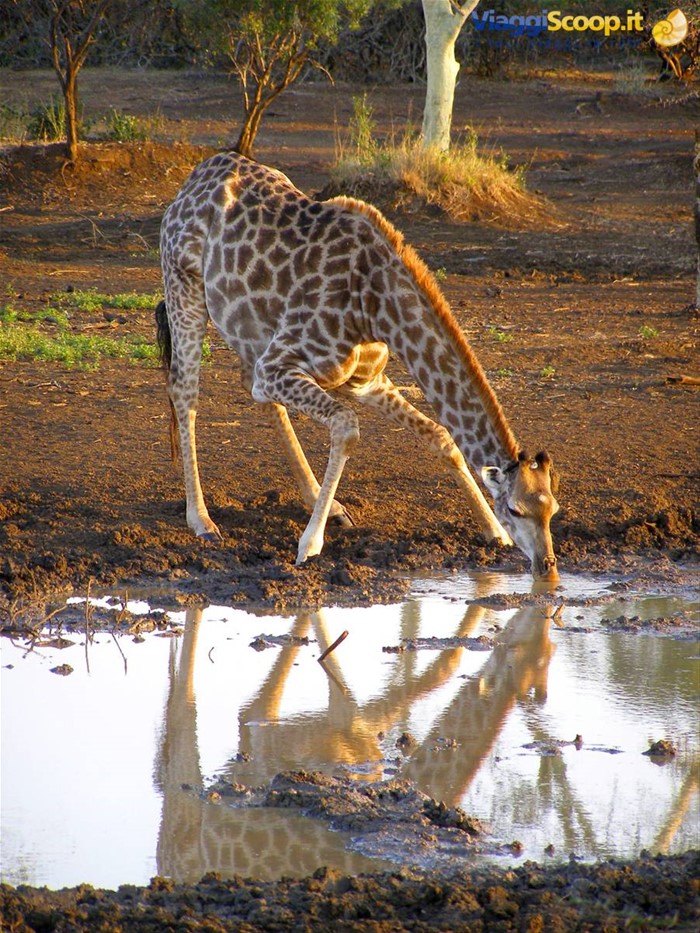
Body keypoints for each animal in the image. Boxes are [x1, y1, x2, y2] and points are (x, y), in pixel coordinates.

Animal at [157, 151, 560, 578]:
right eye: (515, 509)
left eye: (553, 508)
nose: (547, 564)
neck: (376, 307)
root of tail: (195, 178)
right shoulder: (279, 367)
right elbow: (347, 427)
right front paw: (309, 545)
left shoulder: (365, 381)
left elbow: (441, 435)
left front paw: (492, 531)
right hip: (185, 287)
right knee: (184, 390)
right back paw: (202, 520)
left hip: (251, 329)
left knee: (252, 389)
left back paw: (327, 504)